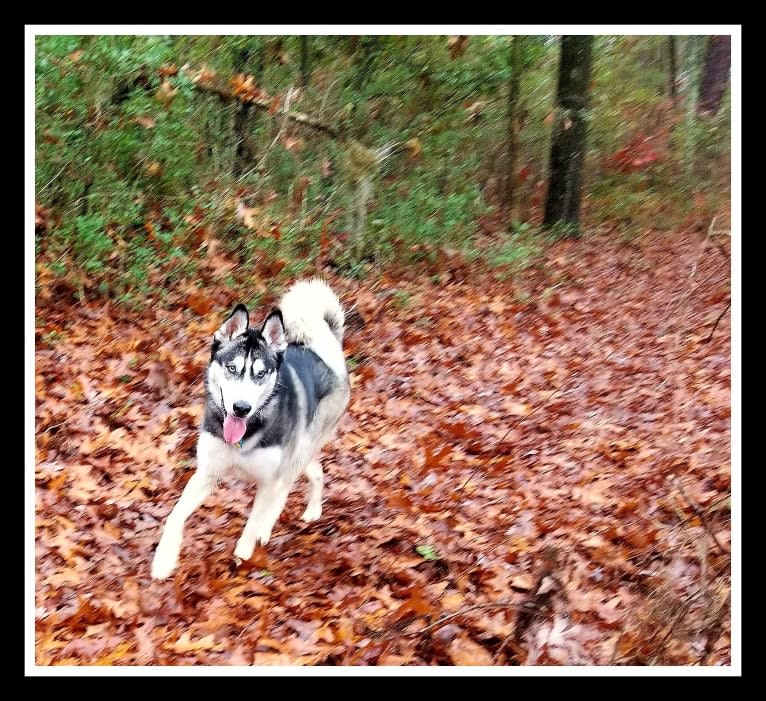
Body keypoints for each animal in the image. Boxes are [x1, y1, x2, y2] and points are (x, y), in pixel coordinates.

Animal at [153, 278, 352, 580]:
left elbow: (254, 520)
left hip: (295, 456)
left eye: (260, 373)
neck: (244, 435)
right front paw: (164, 558)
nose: (241, 408)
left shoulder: (269, 480)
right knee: (316, 470)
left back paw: (275, 526)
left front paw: (244, 554)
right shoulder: (207, 473)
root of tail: (325, 353)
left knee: (283, 493)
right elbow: (175, 514)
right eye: (232, 368)